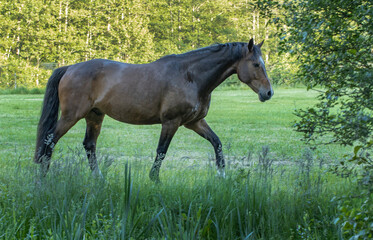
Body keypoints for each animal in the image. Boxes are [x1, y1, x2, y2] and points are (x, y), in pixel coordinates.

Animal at [34, 39, 274, 182]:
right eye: (256, 64)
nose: (269, 92)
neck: (190, 76)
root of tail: (70, 68)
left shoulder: (194, 122)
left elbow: (217, 143)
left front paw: (222, 174)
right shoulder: (171, 122)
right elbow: (161, 151)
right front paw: (155, 179)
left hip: (94, 116)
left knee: (89, 145)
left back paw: (98, 177)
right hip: (71, 115)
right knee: (50, 139)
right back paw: (43, 175)